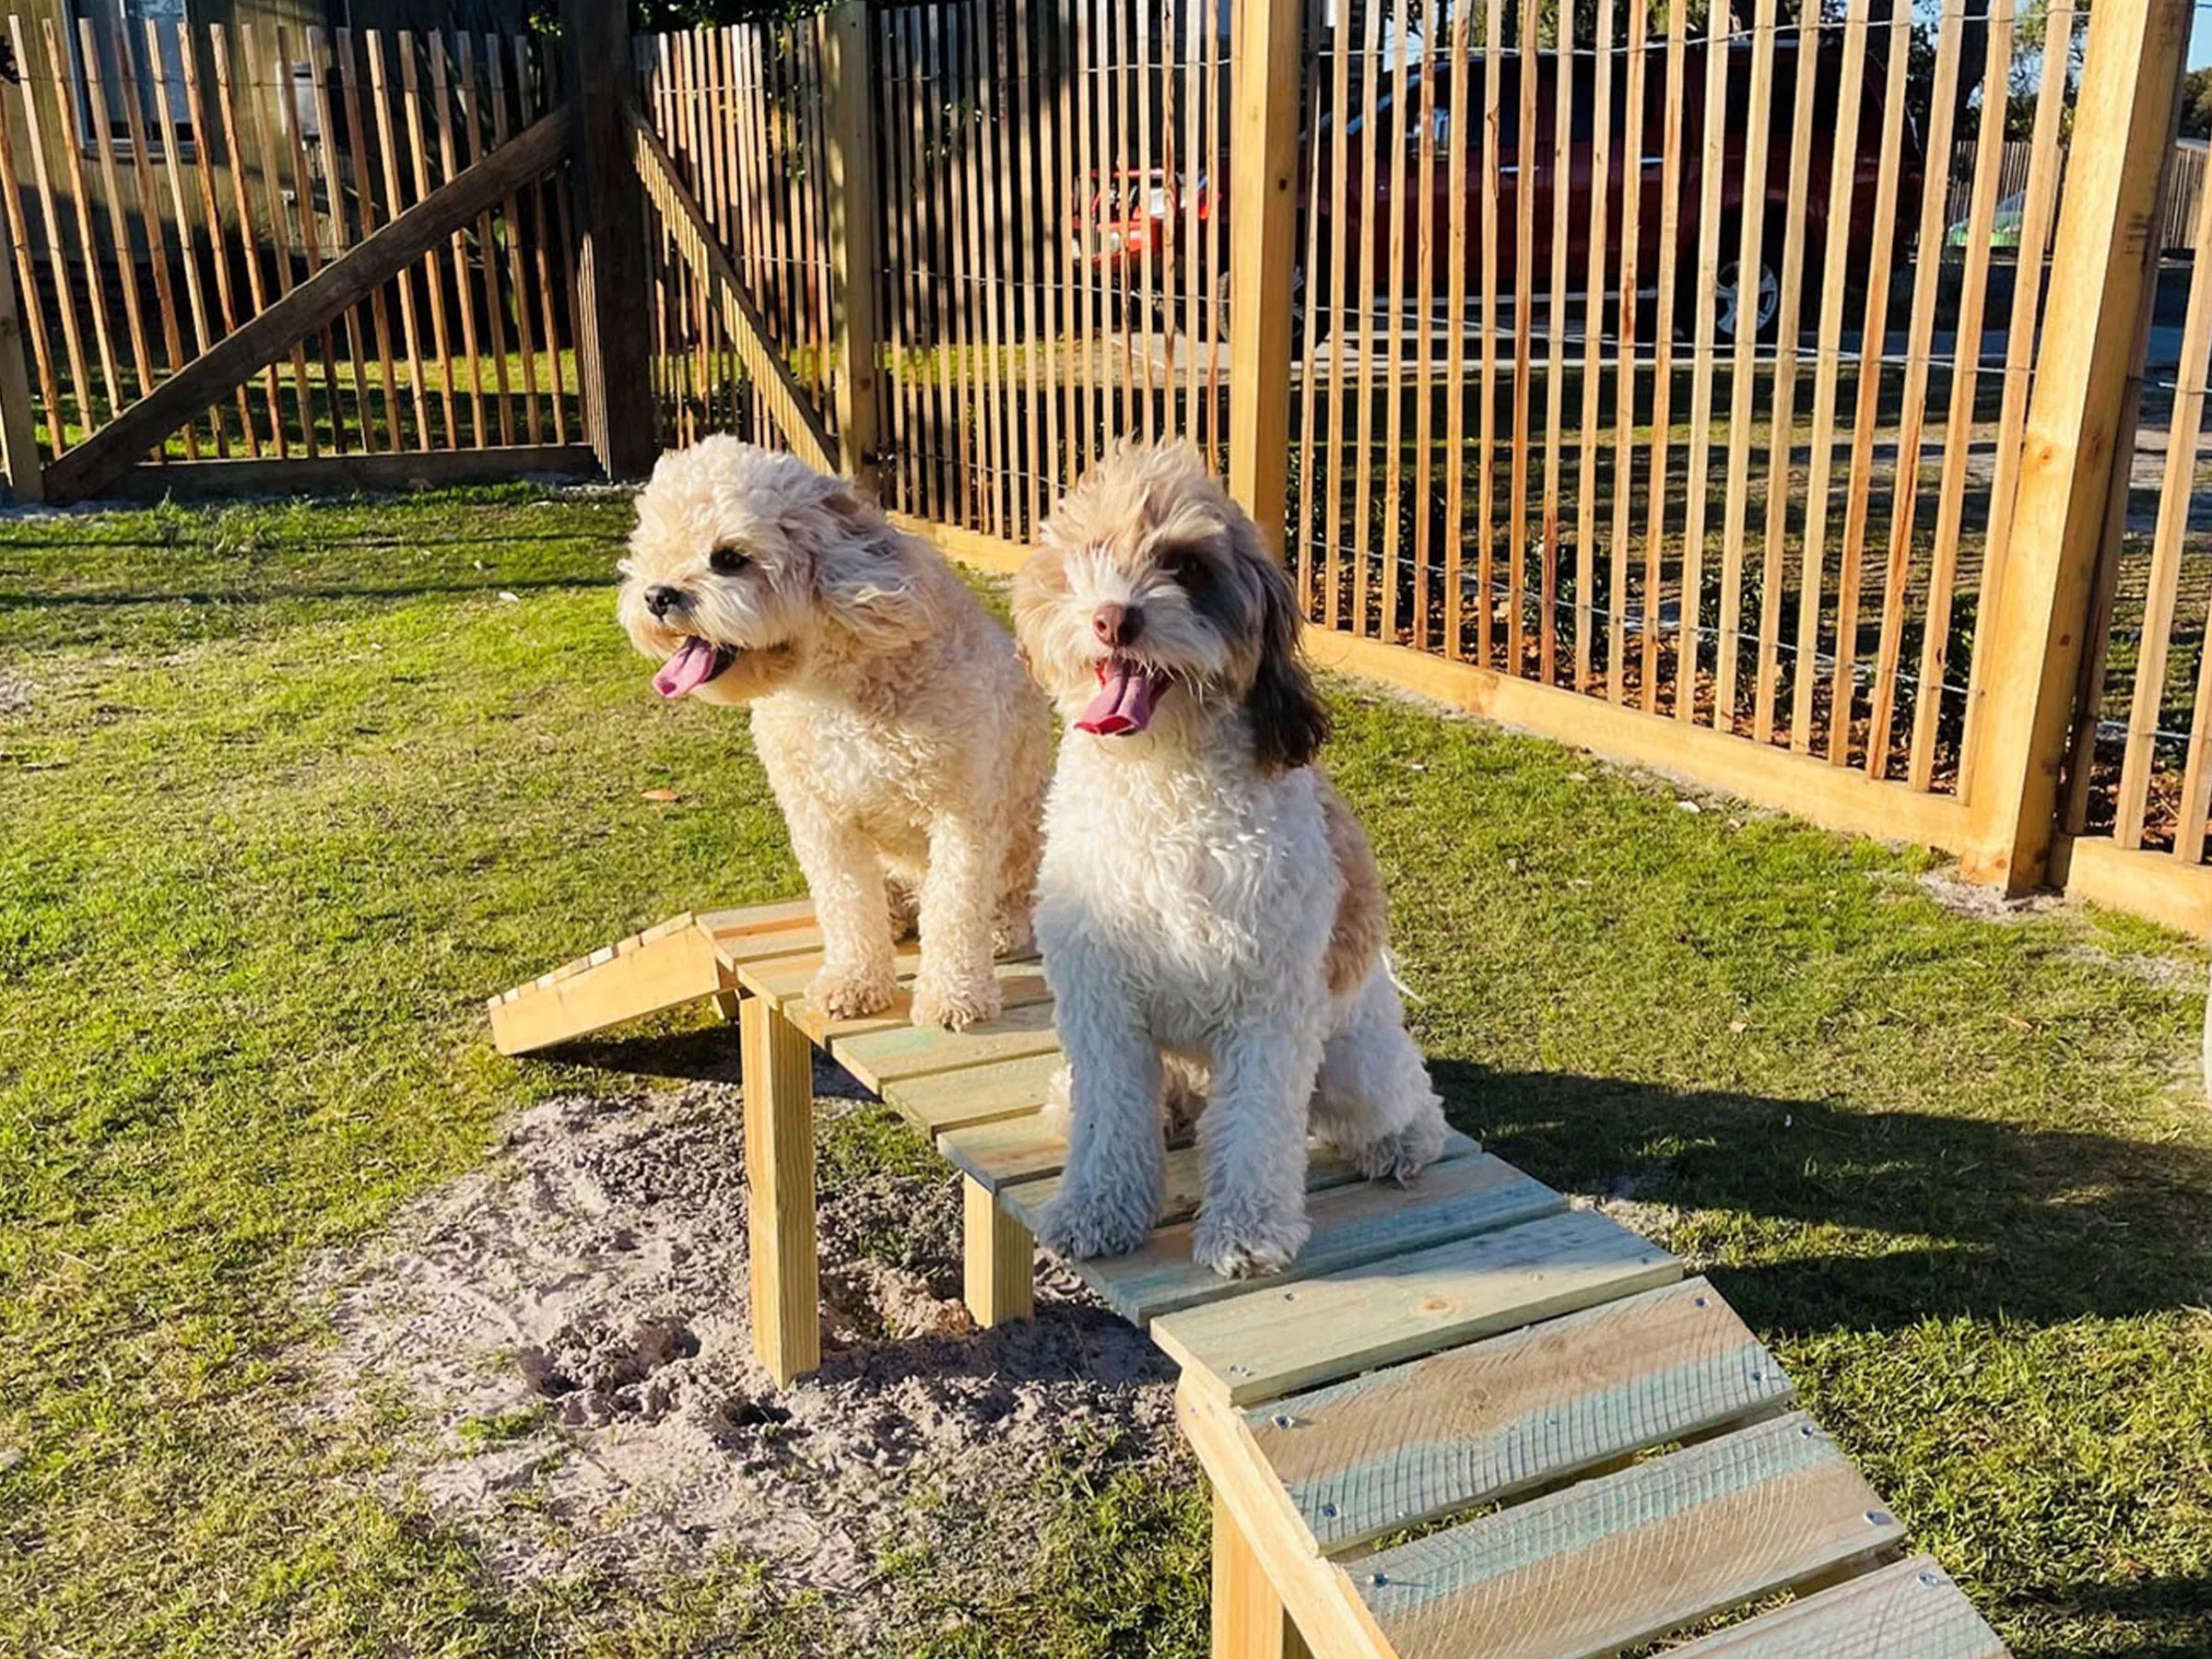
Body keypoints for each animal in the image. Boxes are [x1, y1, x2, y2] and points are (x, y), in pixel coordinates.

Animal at [615, 444, 1043, 1040]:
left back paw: (1001, 925)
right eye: (654, 550)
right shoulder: (822, 818)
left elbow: (956, 908)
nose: (657, 595)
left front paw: (954, 996)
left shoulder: (963, 815)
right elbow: (846, 903)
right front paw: (854, 982)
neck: (836, 685)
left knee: (1009, 894)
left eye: (729, 557)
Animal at [1013, 438, 1441, 1274]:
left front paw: (1247, 1230)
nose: (1115, 618)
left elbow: (1254, 1131)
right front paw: (1096, 1209)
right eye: (1093, 551)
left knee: (1412, 1100)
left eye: (1186, 566)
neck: (1164, 781)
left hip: (1356, 1062)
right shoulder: (1101, 998)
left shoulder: (1268, 1006)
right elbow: (1108, 1118)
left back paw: (1403, 1142)